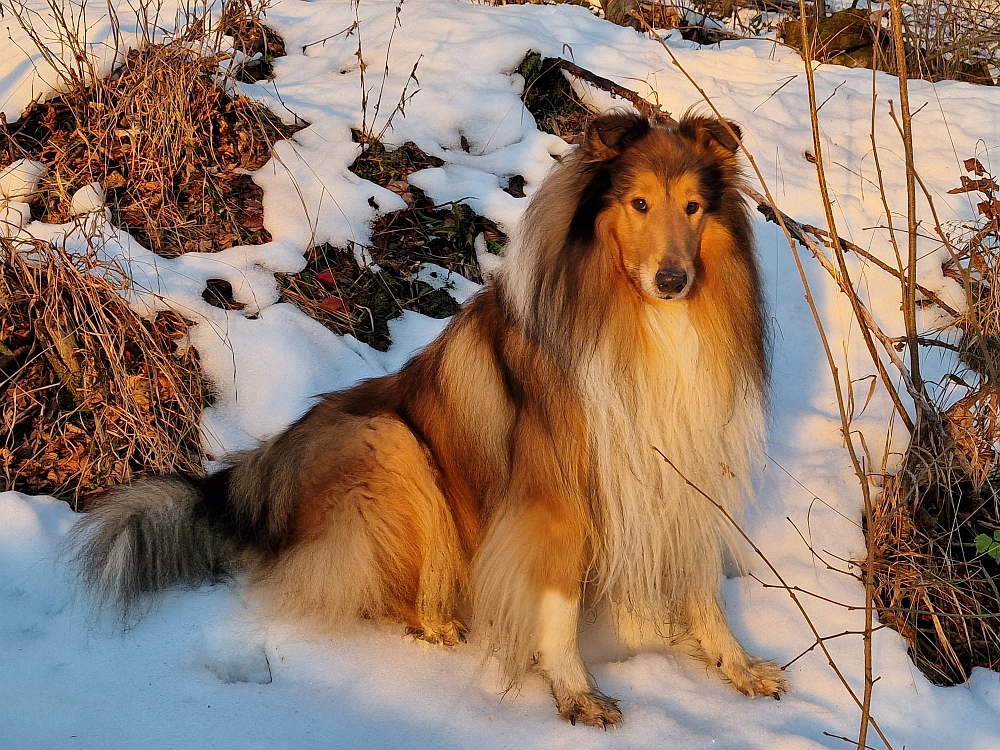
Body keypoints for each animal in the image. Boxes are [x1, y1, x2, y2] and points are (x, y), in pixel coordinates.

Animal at [74, 110, 784, 728]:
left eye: (693, 207)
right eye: (638, 204)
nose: (673, 279)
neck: (647, 322)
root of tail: (261, 471)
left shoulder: (684, 470)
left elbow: (701, 588)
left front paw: (738, 665)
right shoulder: (554, 496)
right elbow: (556, 604)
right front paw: (576, 693)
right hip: (391, 443)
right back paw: (439, 620)